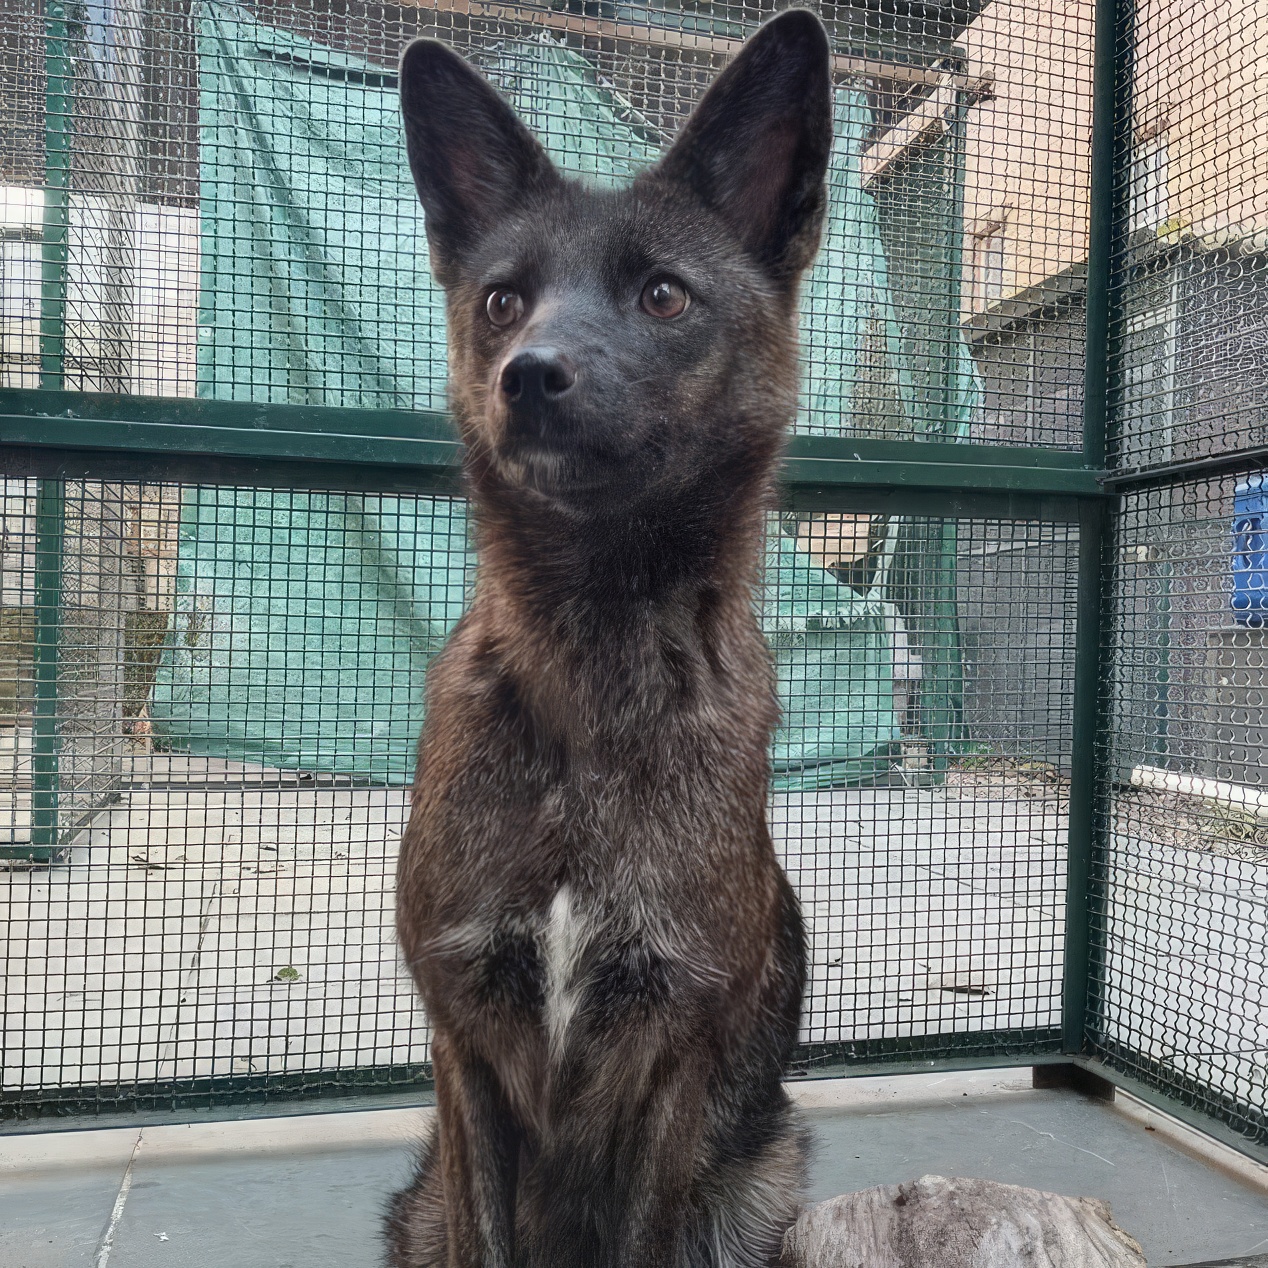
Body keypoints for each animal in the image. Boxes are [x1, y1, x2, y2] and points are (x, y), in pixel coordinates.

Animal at [386, 11, 834, 1267]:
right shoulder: (463, 1042)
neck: (586, 672)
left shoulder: (668, 1059)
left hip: (758, 1181)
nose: (529, 376)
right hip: (419, 1204)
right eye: (501, 299)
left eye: (664, 296)